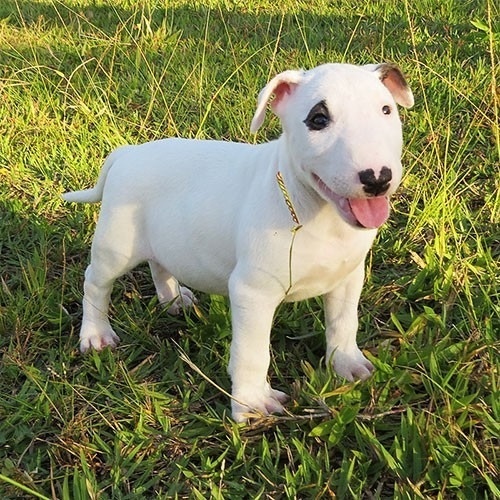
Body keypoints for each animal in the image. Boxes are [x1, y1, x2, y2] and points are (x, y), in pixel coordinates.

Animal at [63, 61, 414, 422]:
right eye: (318, 120)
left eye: (386, 110)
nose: (378, 178)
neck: (317, 211)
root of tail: (128, 153)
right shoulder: (252, 292)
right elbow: (252, 353)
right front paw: (252, 404)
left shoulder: (348, 277)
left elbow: (343, 323)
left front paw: (347, 364)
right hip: (116, 244)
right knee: (95, 283)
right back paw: (95, 335)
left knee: (159, 263)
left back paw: (173, 299)